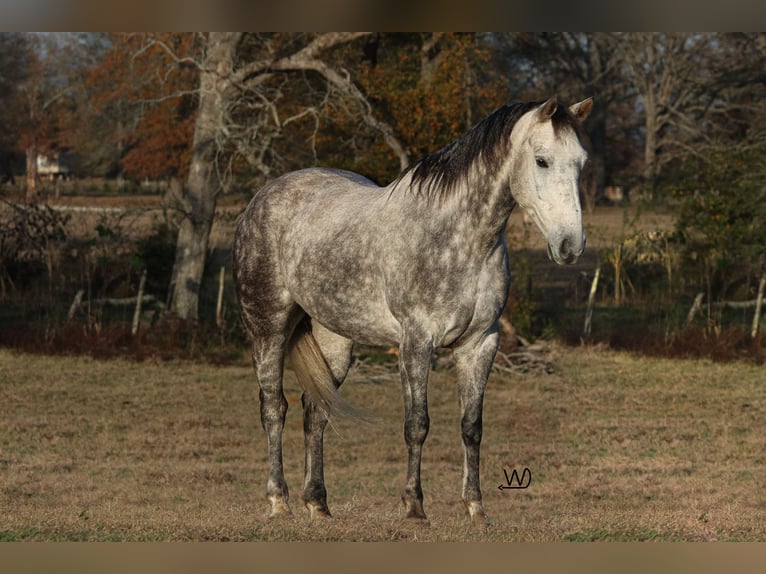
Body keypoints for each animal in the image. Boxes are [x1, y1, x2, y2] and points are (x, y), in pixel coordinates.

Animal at [234, 97, 592, 528]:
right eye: (541, 160)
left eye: (581, 162)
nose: (570, 245)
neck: (459, 239)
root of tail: (262, 198)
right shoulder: (417, 343)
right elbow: (417, 425)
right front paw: (414, 506)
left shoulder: (480, 344)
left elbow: (471, 427)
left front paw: (476, 508)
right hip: (267, 327)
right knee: (274, 408)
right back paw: (278, 501)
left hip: (333, 339)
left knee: (315, 411)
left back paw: (317, 504)